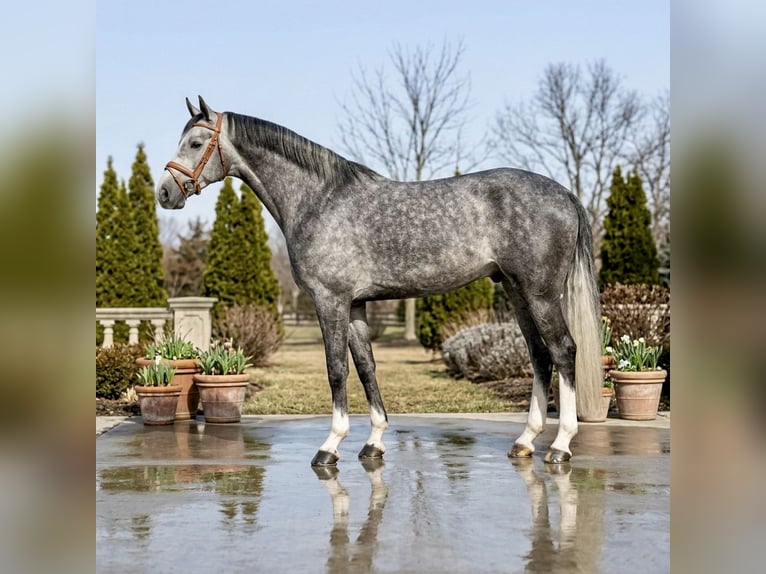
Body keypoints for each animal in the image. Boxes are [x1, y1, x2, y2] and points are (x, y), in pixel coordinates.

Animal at [157, 96, 603, 466]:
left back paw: (560, 445)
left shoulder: (330, 300)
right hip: (516, 290)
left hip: (541, 293)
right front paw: (373, 443)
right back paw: (525, 441)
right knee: (539, 356)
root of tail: (564, 193)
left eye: (195, 143)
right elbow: (366, 367)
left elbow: (337, 369)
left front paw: (330, 446)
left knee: (564, 351)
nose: (164, 192)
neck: (318, 200)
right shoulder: (355, 304)